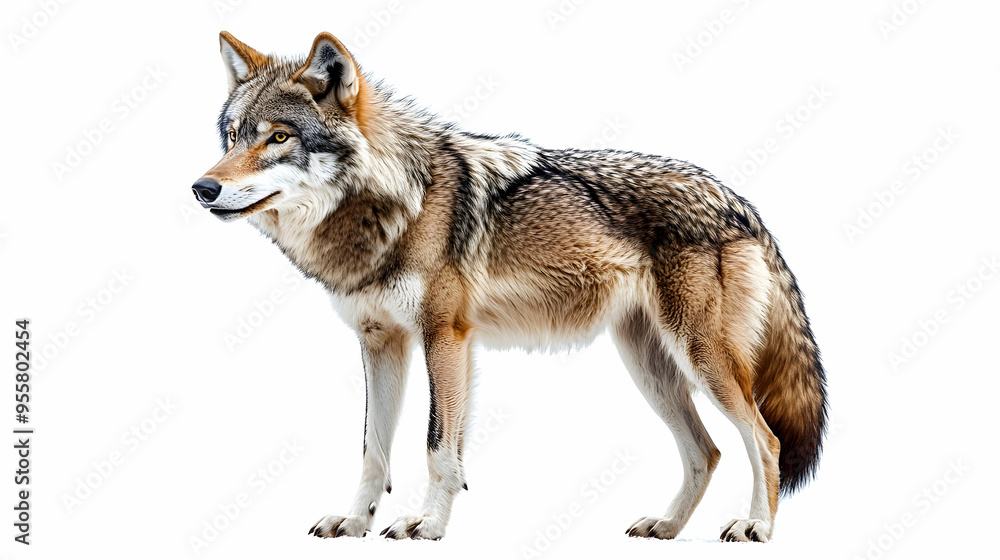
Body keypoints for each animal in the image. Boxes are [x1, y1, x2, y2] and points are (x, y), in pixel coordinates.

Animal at [193, 31, 828, 542]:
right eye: (233, 136)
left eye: (278, 137)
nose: (202, 188)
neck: (399, 203)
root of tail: (738, 200)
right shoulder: (380, 343)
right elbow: (373, 450)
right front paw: (354, 523)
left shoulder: (445, 338)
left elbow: (437, 446)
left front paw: (427, 525)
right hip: (650, 368)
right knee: (707, 451)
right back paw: (666, 527)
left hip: (702, 360)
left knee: (764, 441)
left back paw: (756, 527)